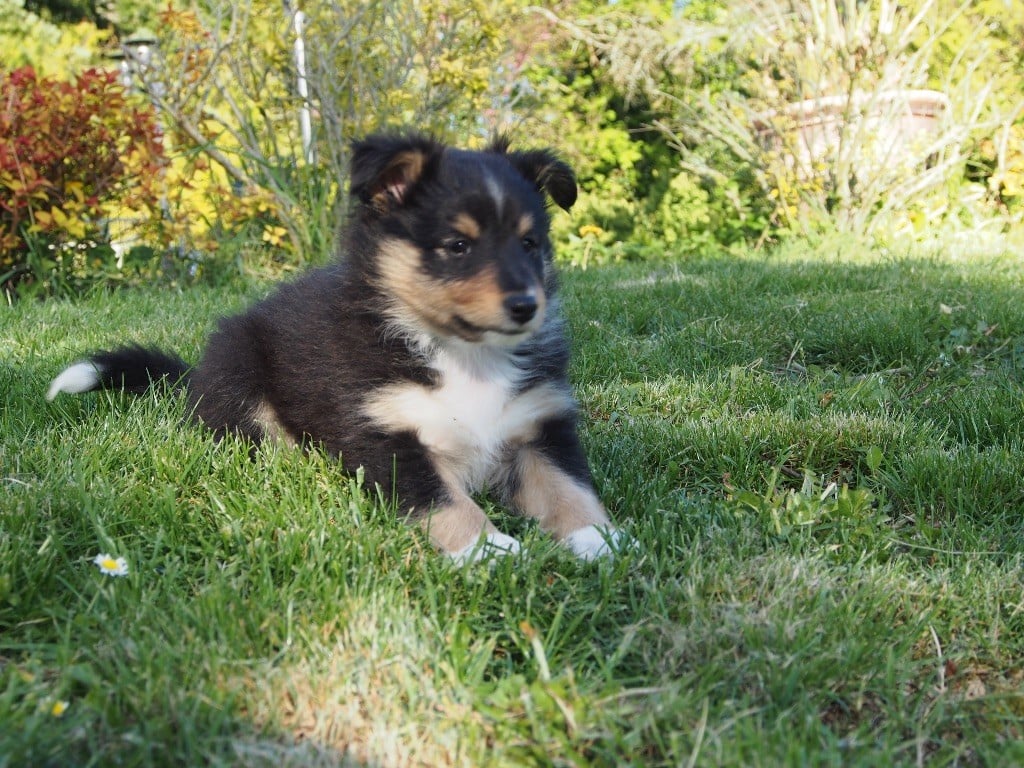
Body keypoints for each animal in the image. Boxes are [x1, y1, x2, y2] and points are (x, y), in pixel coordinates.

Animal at [48, 132, 626, 565]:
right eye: (457, 246)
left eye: (530, 243)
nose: (527, 305)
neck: (463, 355)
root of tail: (195, 375)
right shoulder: (384, 432)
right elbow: (442, 498)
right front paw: (489, 549)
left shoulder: (541, 423)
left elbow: (569, 487)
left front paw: (600, 540)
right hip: (241, 368)